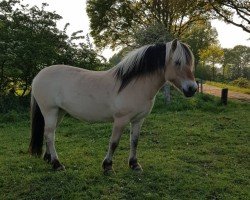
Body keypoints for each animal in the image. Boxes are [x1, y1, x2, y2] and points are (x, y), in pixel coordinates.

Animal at [28, 39, 197, 172]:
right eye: (177, 62)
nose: (192, 89)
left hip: (60, 112)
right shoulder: (121, 120)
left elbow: (134, 141)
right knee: (50, 135)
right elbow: (114, 142)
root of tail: (38, 75)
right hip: (50, 111)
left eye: (190, 63)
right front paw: (108, 165)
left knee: (49, 133)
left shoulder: (138, 120)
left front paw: (134, 164)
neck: (133, 85)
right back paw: (57, 164)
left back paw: (48, 158)